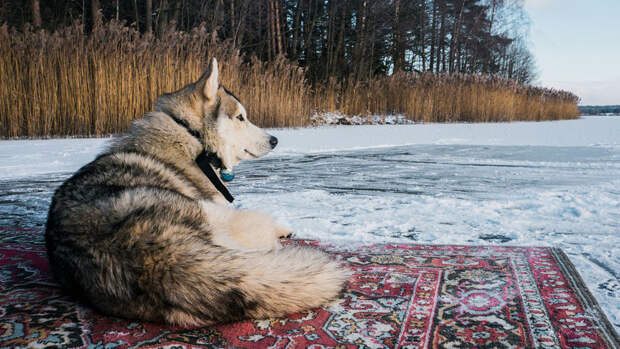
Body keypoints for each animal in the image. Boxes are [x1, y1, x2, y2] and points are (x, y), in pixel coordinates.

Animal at [44, 58, 348, 324]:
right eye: (240, 117)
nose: (275, 140)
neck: (192, 136)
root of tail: (154, 256)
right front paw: (282, 228)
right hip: (214, 213)